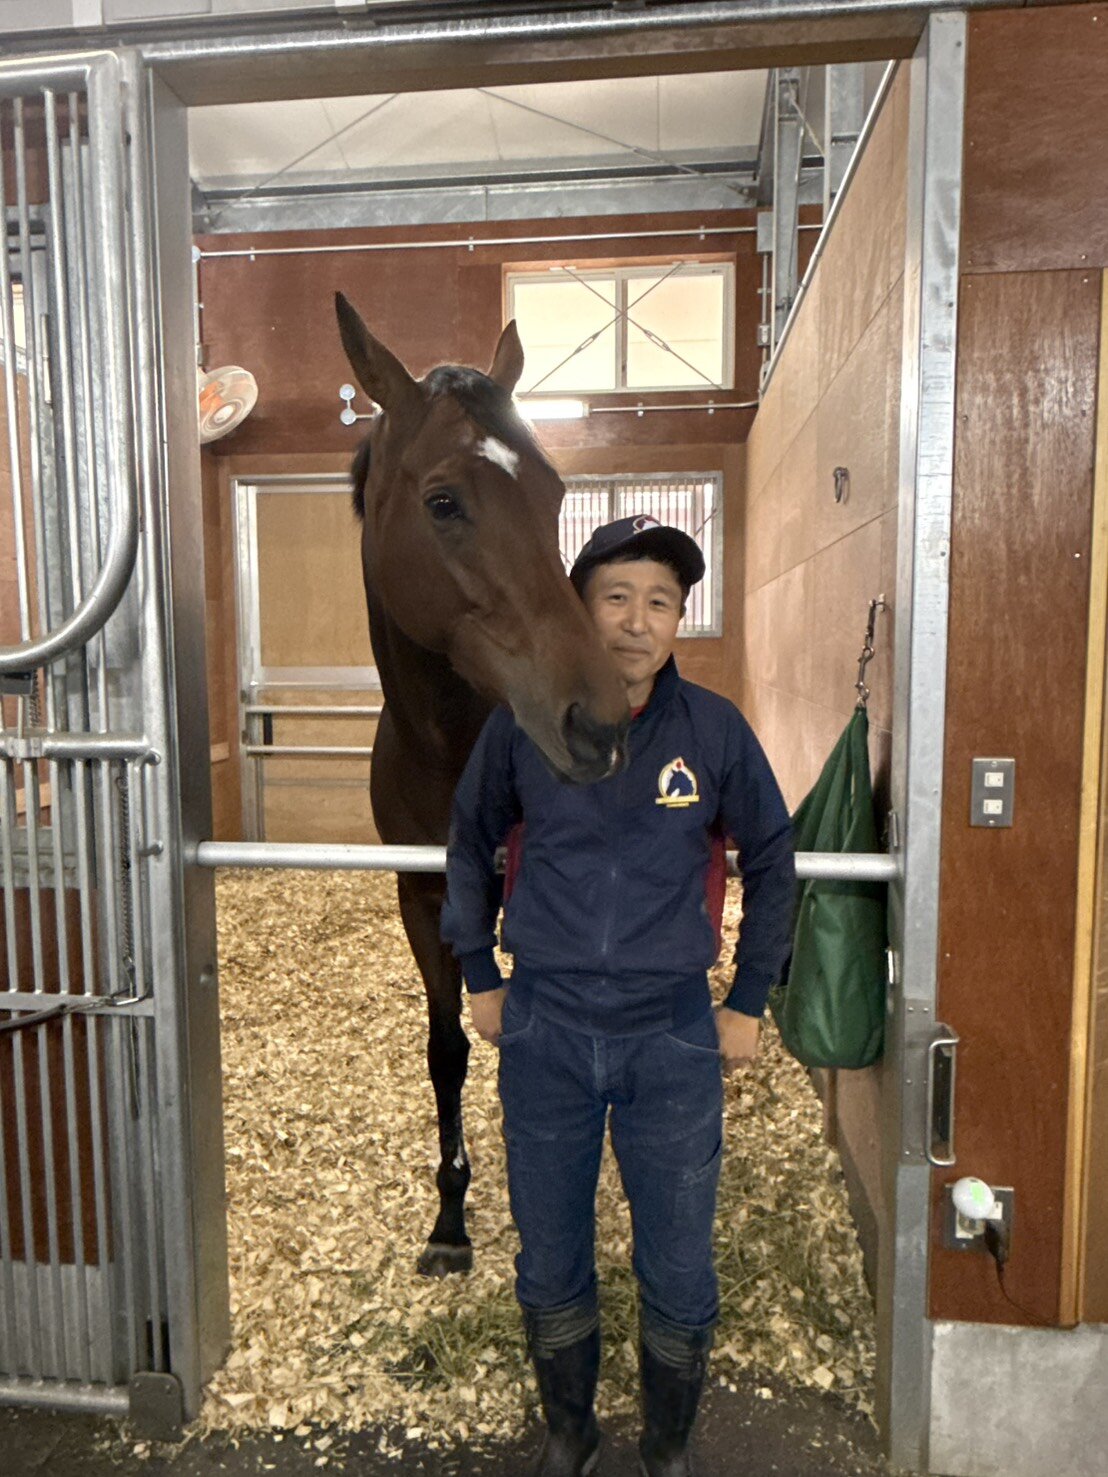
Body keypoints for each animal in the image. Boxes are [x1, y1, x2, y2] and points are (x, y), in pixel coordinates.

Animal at [335, 293, 630, 1276]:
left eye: (554, 492)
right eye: (443, 502)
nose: (600, 722)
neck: (446, 749)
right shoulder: (425, 900)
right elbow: (449, 1046)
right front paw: (450, 1217)